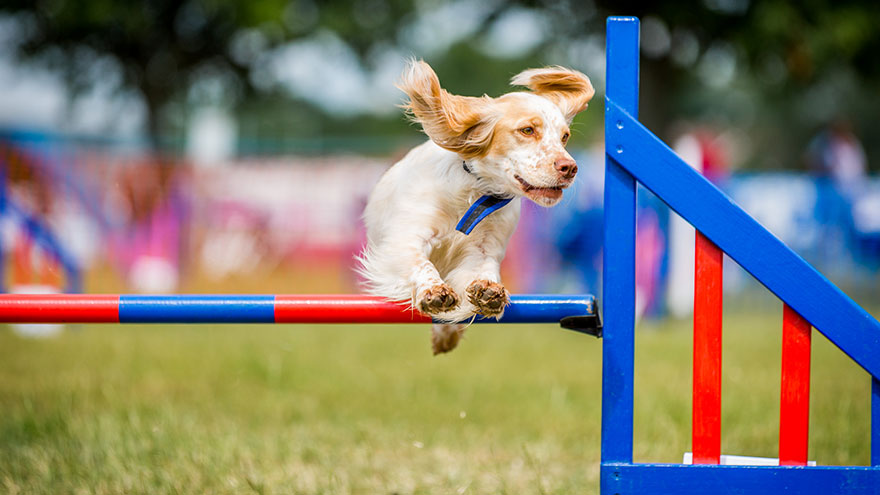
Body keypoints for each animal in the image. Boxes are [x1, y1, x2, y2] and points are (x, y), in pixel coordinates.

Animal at [360, 60, 600, 354]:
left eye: (564, 137)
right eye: (527, 130)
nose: (569, 168)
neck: (475, 188)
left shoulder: (482, 250)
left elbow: (480, 274)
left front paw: (488, 291)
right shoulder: (406, 238)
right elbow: (421, 264)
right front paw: (433, 292)